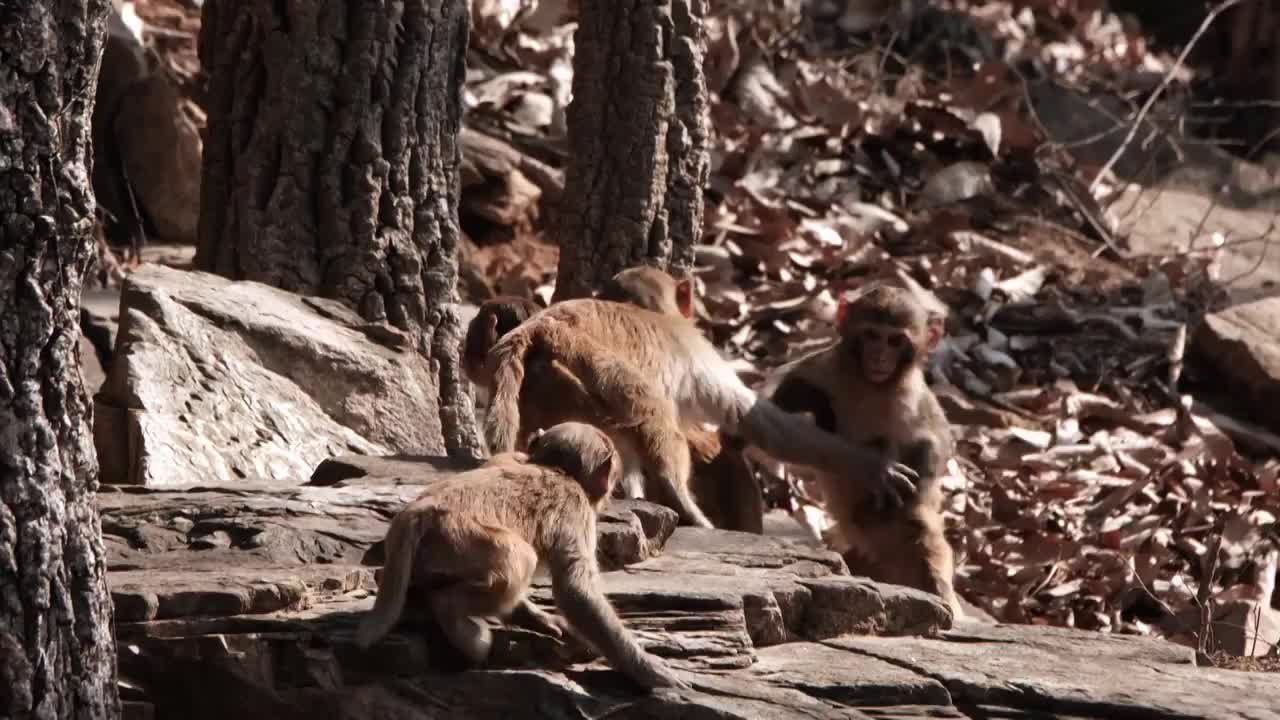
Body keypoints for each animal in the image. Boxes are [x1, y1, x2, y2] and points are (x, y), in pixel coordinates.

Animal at [355, 420, 691, 691]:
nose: (611, 490)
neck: (555, 469)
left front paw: (540, 617)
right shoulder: (577, 509)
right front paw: (647, 668)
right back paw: (457, 619)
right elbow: (576, 590)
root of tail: (416, 513)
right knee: (519, 559)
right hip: (460, 539)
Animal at [481, 269, 921, 527]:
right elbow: (755, 421)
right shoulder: (697, 350)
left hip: (539, 385)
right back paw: (684, 505)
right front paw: (870, 467)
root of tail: (536, 331)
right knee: (650, 409)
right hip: (582, 366)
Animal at [757, 283, 962, 614]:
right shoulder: (820, 367)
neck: (870, 385)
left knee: (917, 530)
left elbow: (935, 443)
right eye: (871, 335)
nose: (879, 357)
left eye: (895, 340)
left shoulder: (914, 398)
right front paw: (874, 467)